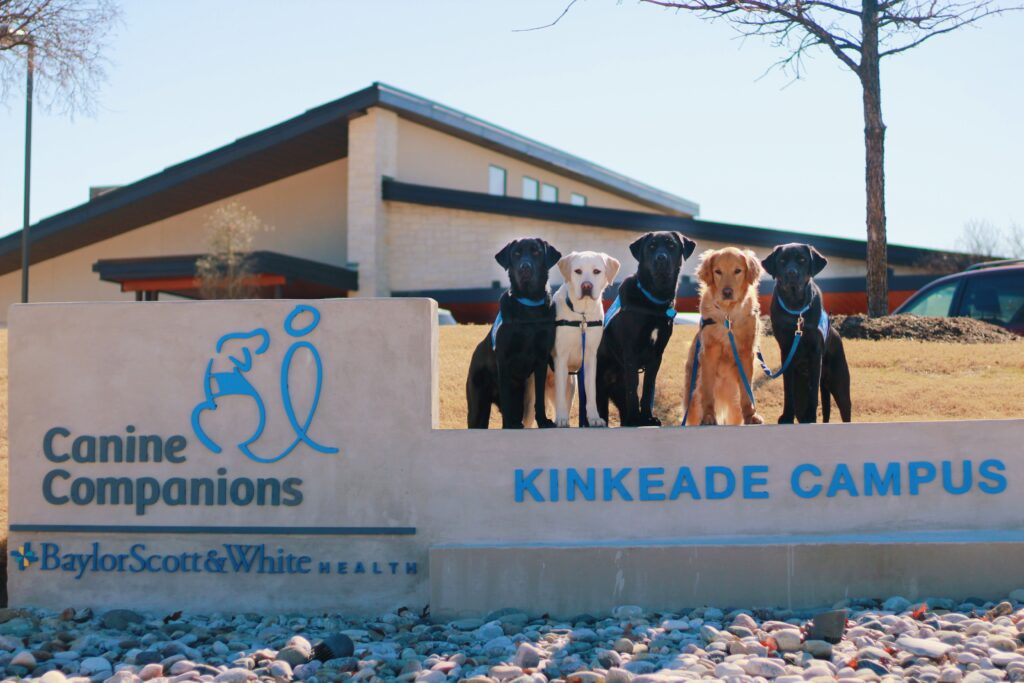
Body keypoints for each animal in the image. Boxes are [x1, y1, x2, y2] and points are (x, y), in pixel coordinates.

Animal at [468, 236, 565, 428]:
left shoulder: (542, 359)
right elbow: (506, 399)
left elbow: (540, 398)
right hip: (477, 406)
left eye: (536, 252)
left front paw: (543, 421)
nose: (525, 267)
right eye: (516, 254)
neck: (529, 306)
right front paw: (510, 425)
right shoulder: (504, 360)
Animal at [598, 232, 696, 423]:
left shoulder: (657, 355)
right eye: (651, 246)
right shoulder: (631, 352)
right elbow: (634, 388)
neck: (654, 299)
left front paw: (647, 417)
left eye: (672, 246)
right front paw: (636, 419)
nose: (661, 258)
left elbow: (648, 387)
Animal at [765, 242, 851, 423]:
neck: (796, 307)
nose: (791, 272)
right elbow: (787, 389)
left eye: (802, 260)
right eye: (782, 260)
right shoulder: (786, 351)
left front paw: (810, 416)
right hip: (802, 391)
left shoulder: (815, 352)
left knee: (845, 411)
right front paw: (786, 416)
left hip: (840, 384)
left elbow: (814, 393)